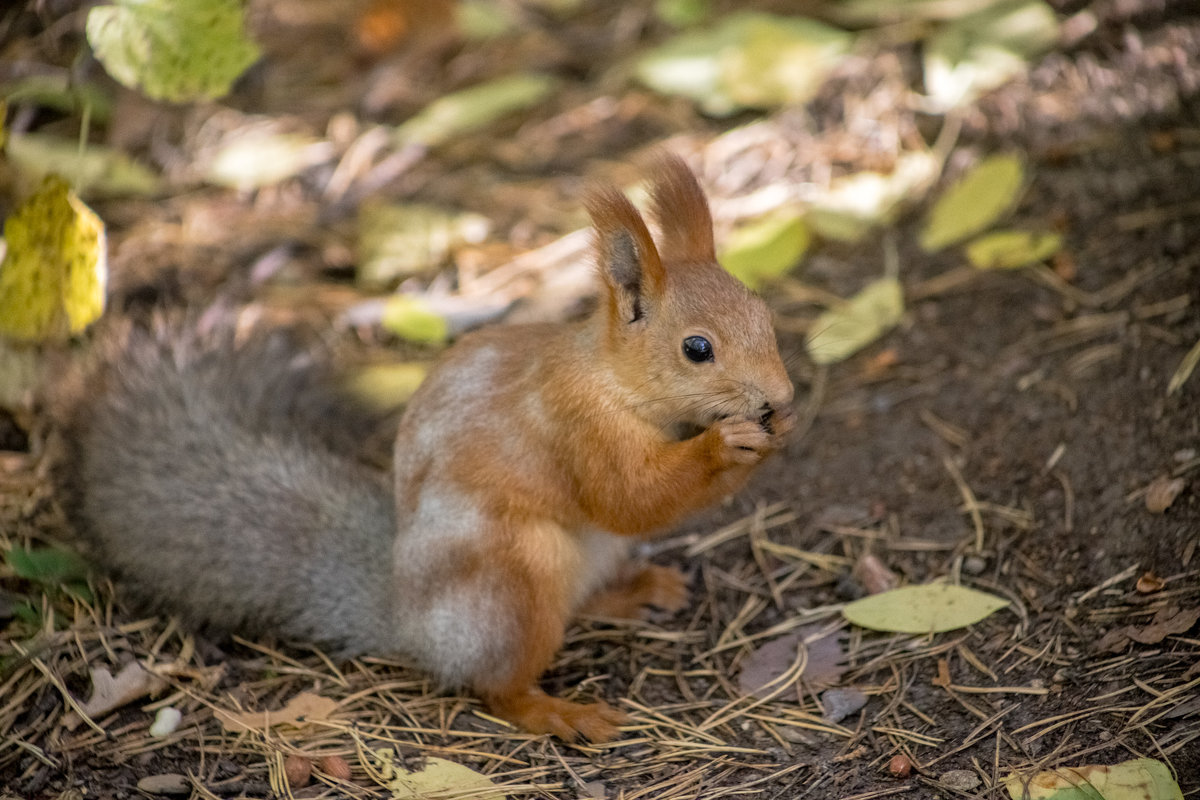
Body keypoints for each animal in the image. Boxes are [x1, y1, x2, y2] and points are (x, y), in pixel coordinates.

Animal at [63, 155, 796, 743]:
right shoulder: (575, 424)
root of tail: (411, 621)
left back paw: (633, 592)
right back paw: (555, 711)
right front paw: (727, 444)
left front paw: (778, 426)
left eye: (766, 317)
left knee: (578, 604)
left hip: (579, 561)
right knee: (496, 682)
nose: (781, 394)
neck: (614, 379)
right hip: (512, 578)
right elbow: (629, 498)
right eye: (696, 349)